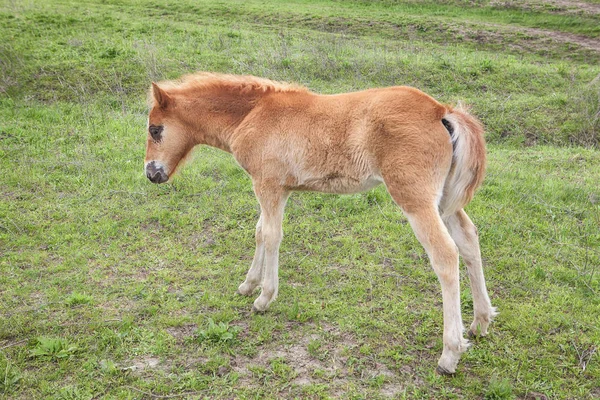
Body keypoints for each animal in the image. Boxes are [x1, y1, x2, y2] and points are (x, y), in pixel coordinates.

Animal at [144, 72, 496, 376]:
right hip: (445, 201)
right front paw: (248, 284)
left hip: (416, 199)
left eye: (155, 130)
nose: (151, 173)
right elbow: (259, 233)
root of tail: (442, 111)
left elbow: (271, 236)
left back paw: (449, 354)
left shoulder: (268, 185)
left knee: (445, 255)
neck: (252, 115)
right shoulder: (277, 189)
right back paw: (480, 322)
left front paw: (264, 298)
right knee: (469, 240)